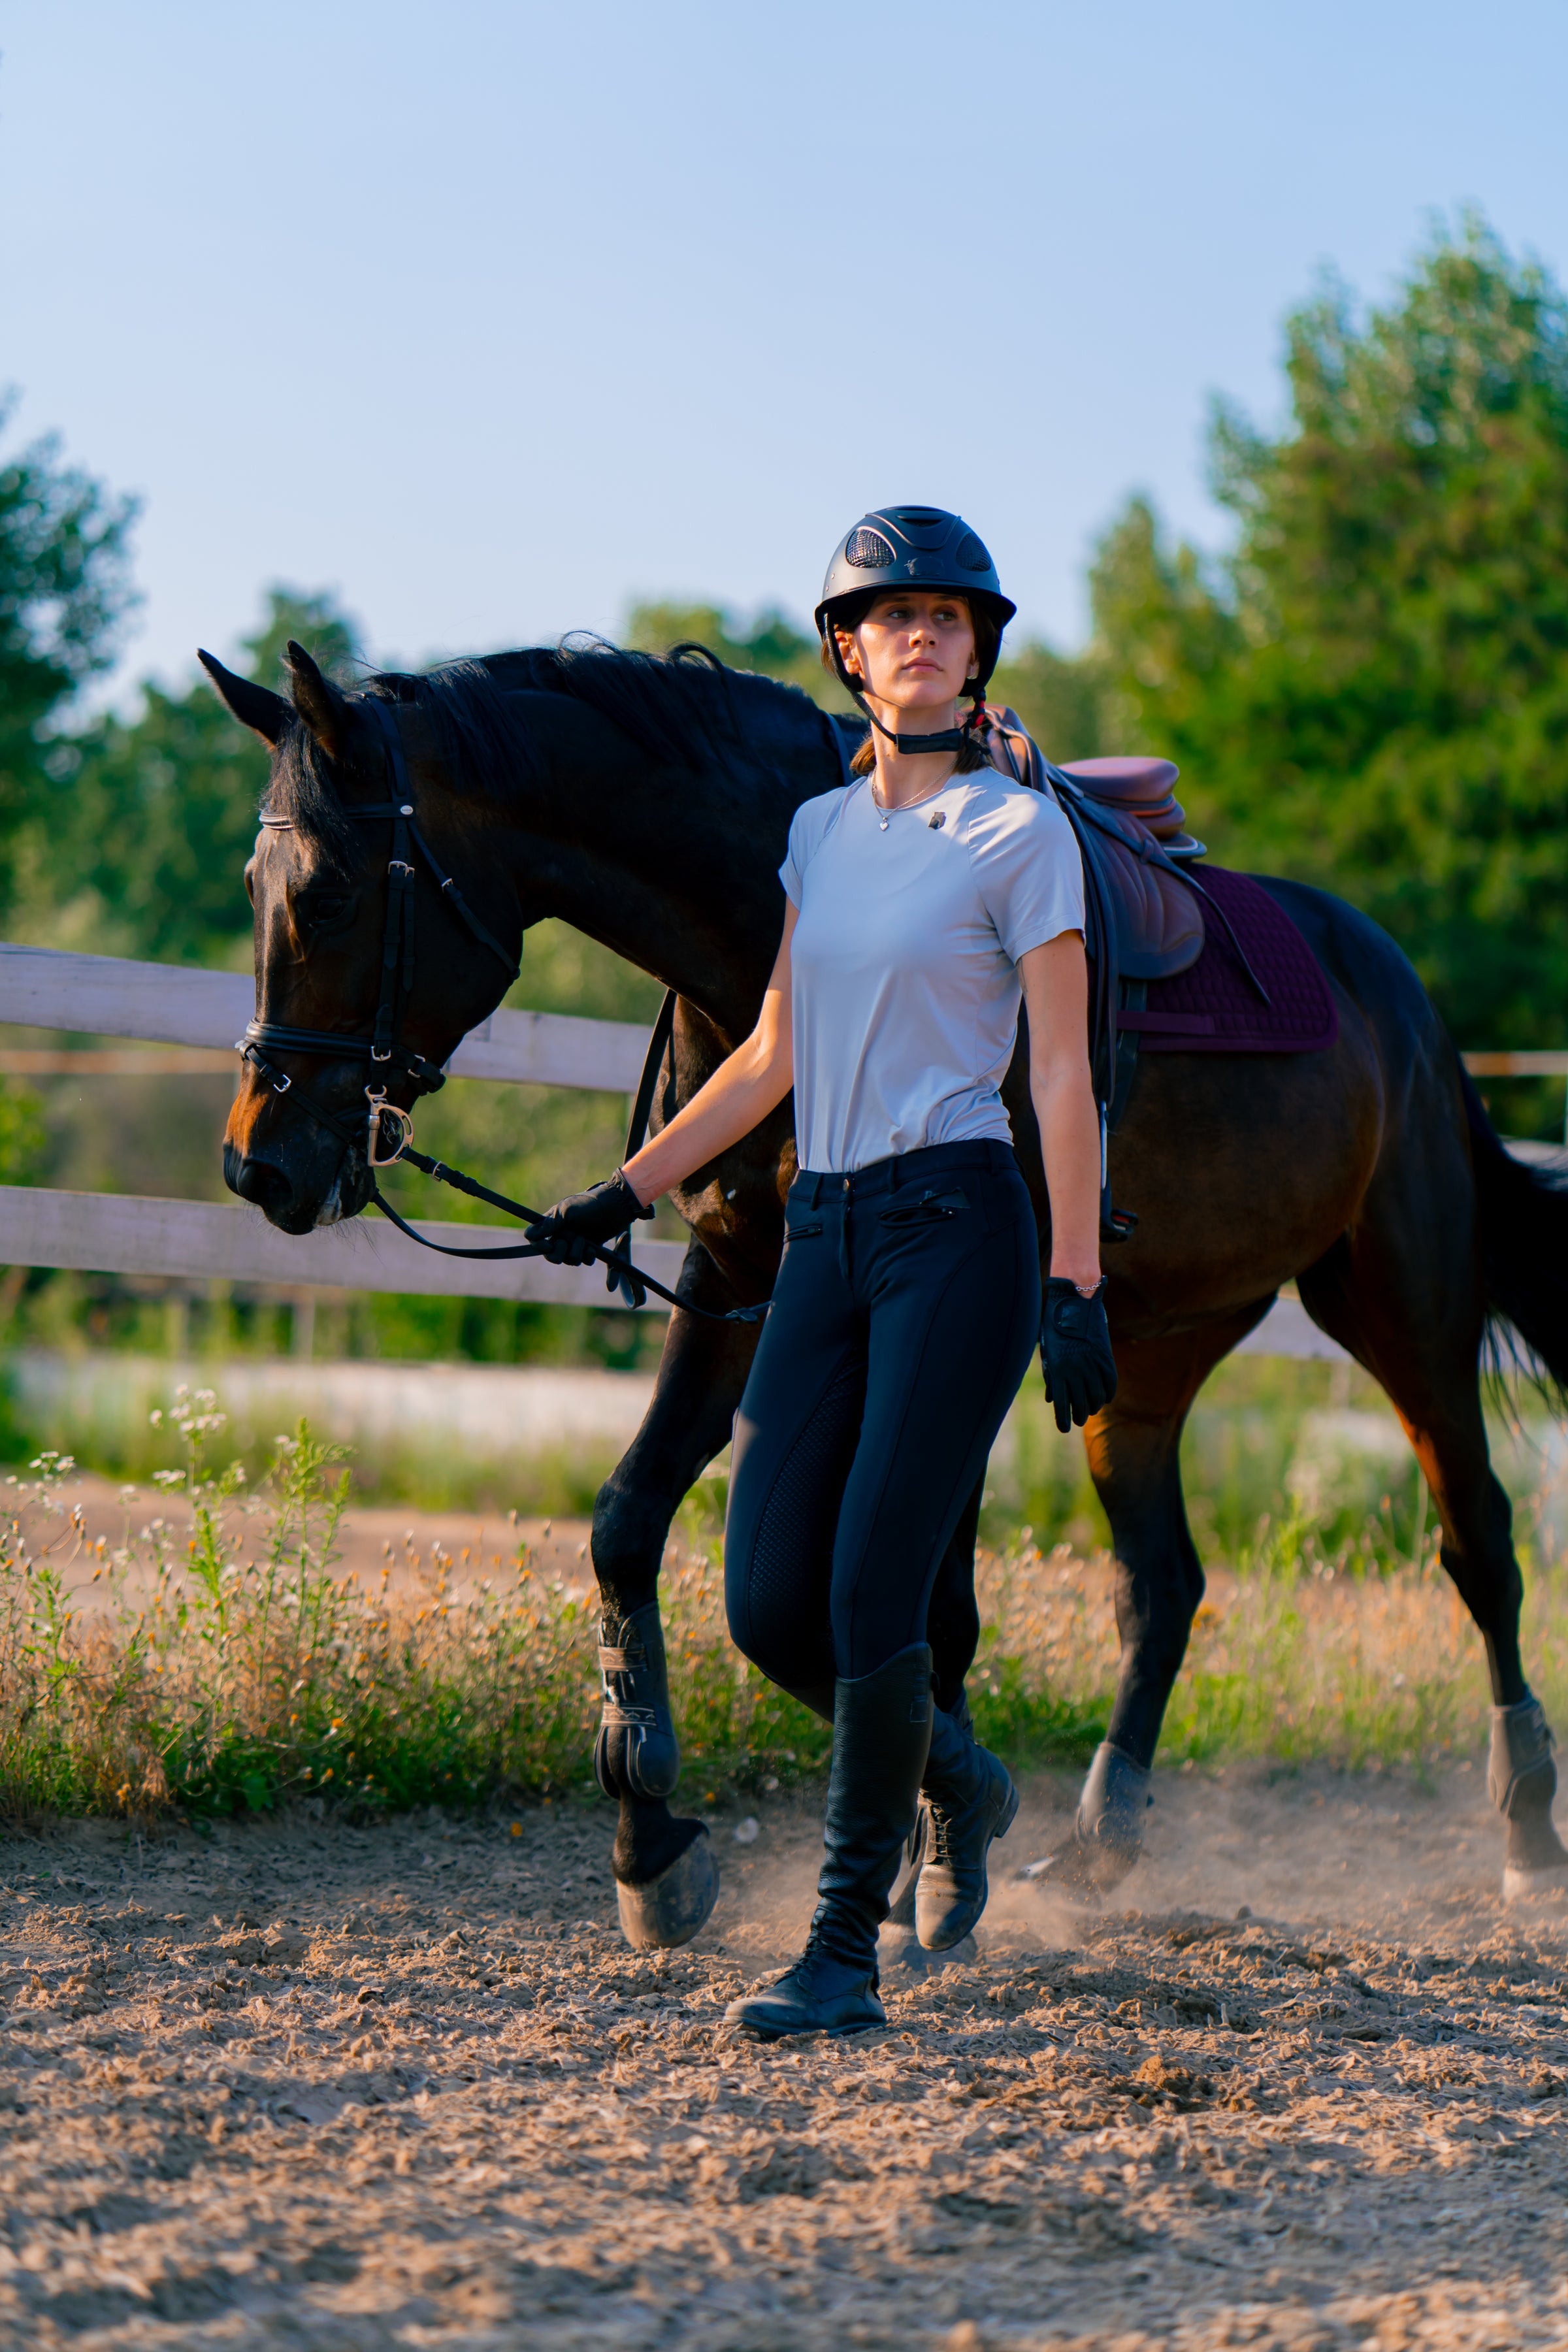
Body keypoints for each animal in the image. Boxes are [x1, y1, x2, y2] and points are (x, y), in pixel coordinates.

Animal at [202, 635, 1568, 1938]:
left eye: (326, 895)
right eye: (255, 891)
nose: (258, 1163)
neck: (778, 939)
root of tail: (1400, 997)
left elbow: (922, 1608)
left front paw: (928, 1863)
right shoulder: (742, 1280)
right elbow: (635, 1525)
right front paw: (656, 1839)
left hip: (1405, 1312)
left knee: (1480, 1548)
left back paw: (1527, 1842)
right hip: (1145, 1359)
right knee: (1163, 1587)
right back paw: (1099, 1847)